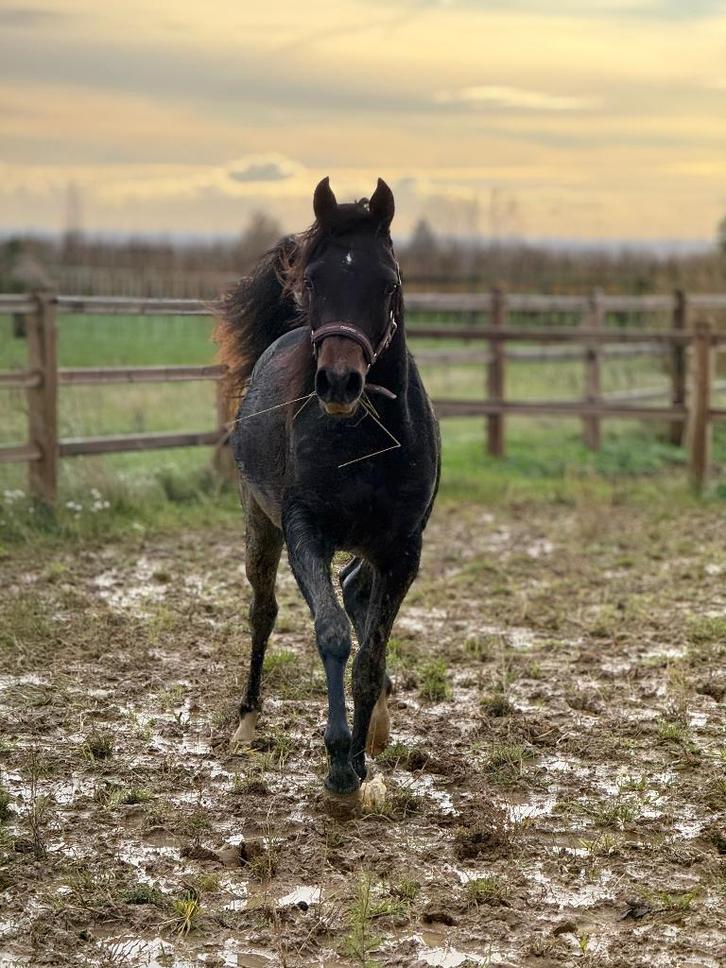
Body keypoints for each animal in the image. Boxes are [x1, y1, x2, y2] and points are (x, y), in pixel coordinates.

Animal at [214, 177, 440, 796]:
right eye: (314, 279)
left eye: (388, 283)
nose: (340, 381)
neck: (362, 441)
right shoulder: (304, 532)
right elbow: (333, 633)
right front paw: (339, 762)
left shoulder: (402, 549)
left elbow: (369, 655)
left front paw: (360, 760)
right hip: (259, 526)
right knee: (263, 611)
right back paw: (247, 720)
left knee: (356, 587)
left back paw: (378, 721)